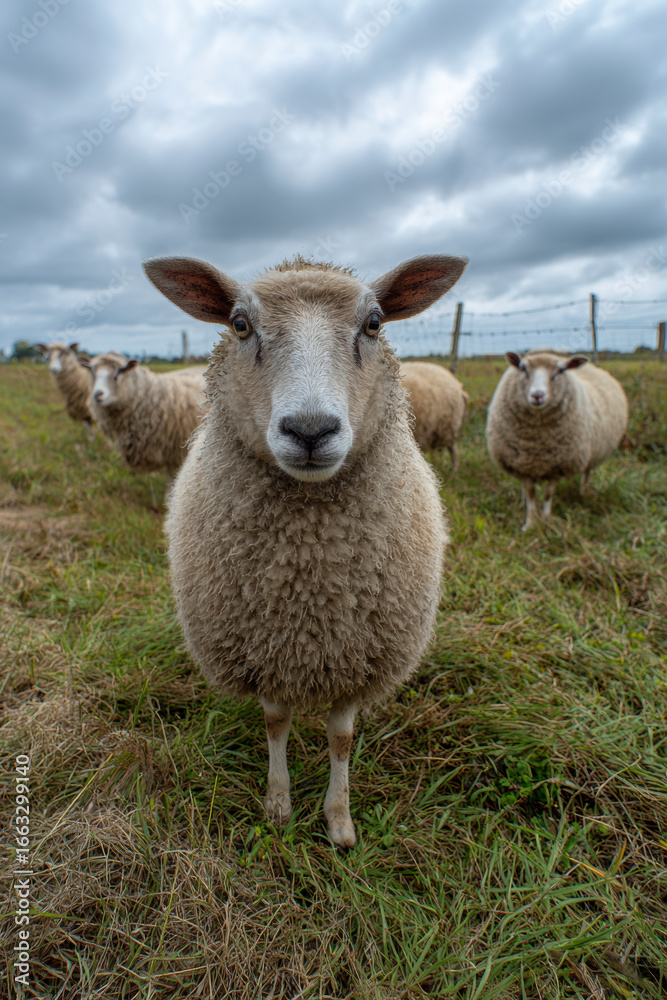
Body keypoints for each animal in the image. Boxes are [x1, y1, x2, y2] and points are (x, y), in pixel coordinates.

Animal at [142, 251, 467, 847]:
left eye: (374, 323)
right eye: (239, 324)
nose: (311, 431)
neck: (310, 583)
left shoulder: (360, 653)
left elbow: (341, 738)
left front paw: (338, 820)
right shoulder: (262, 648)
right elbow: (276, 723)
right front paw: (278, 805)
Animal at [486, 349, 628, 530]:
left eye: (560, 371)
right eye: (523, 368)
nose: (537, 395)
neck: (537, 442)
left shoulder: (557, 465)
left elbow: (548, 494)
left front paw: (546, 520)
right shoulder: (525, 465)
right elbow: (531, 494)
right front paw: (530, 523)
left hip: (590, 451)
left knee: (587, 471)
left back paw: (585, 491)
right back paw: (522, 501)